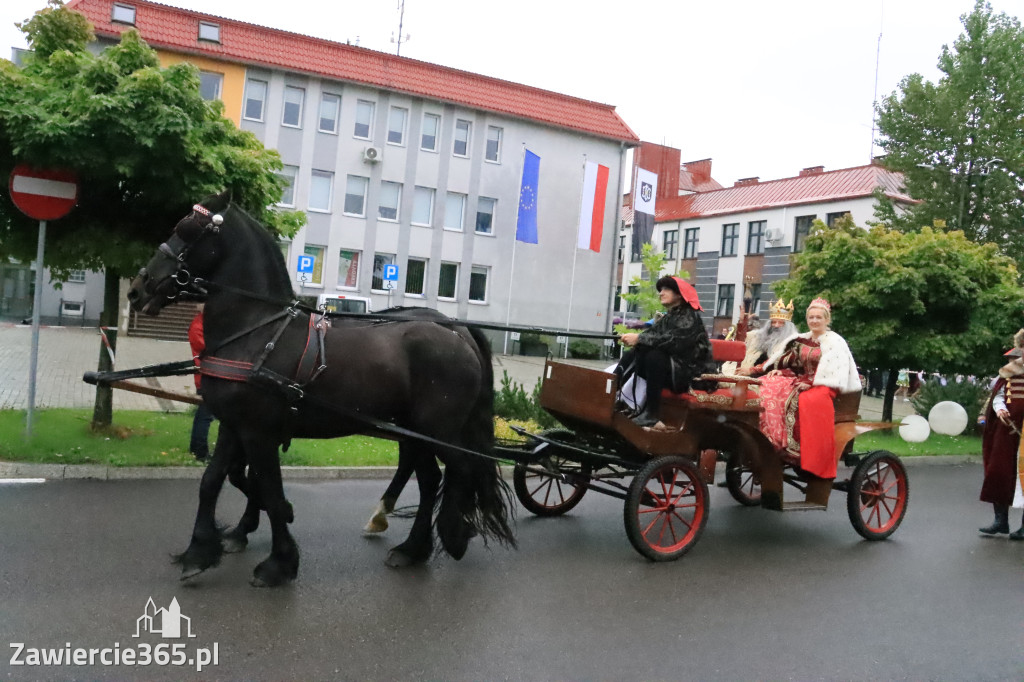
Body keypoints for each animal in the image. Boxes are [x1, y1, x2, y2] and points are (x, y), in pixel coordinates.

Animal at [128, 191, 512, 585]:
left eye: (187, 229)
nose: (137, 289)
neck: (258, 332)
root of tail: (456, 332)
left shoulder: (258, 432)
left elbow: (268, 489)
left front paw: (278, 561)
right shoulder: (234, 426)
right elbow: (212, 481)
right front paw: (199, 551)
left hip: (436, 430)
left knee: (461, 468)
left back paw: (452, 533)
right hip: (414, 430)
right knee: (430, 479)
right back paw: (411, 548)